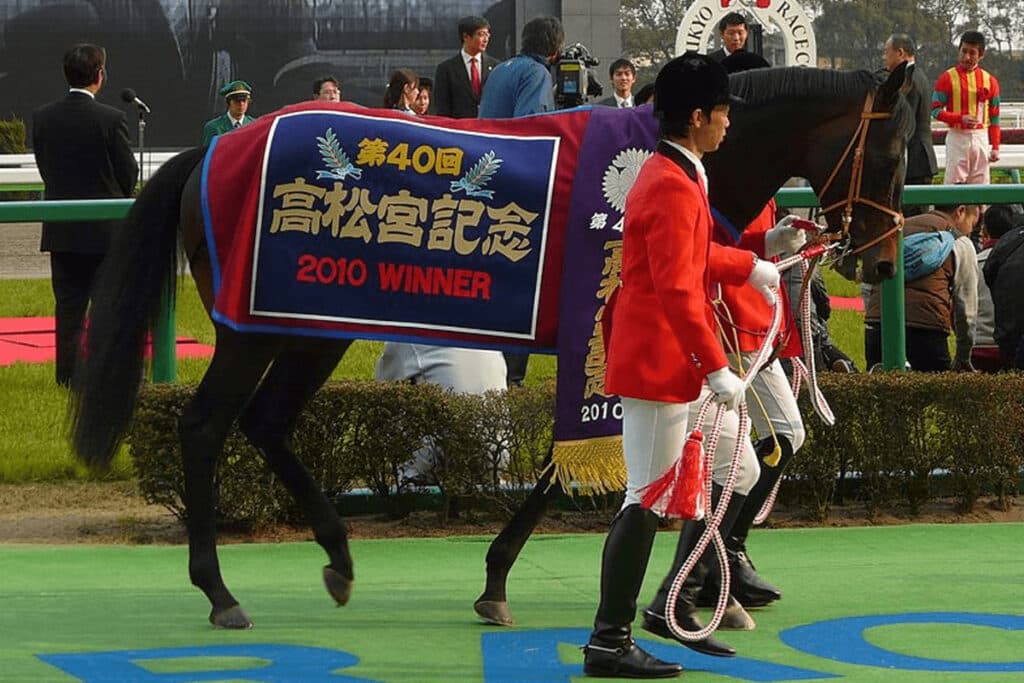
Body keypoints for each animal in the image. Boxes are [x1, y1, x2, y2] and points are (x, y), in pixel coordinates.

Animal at [69, 63, 912, 630]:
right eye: (895, 155)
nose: (878, 261)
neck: (669, 155)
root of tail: (207, 155)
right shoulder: (600, 330)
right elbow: (585, 456)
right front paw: (505, 579)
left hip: (312, 325)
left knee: (267, 421)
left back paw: (337, 557)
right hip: (256, 326)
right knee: (205, 425)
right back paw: (220, 591)